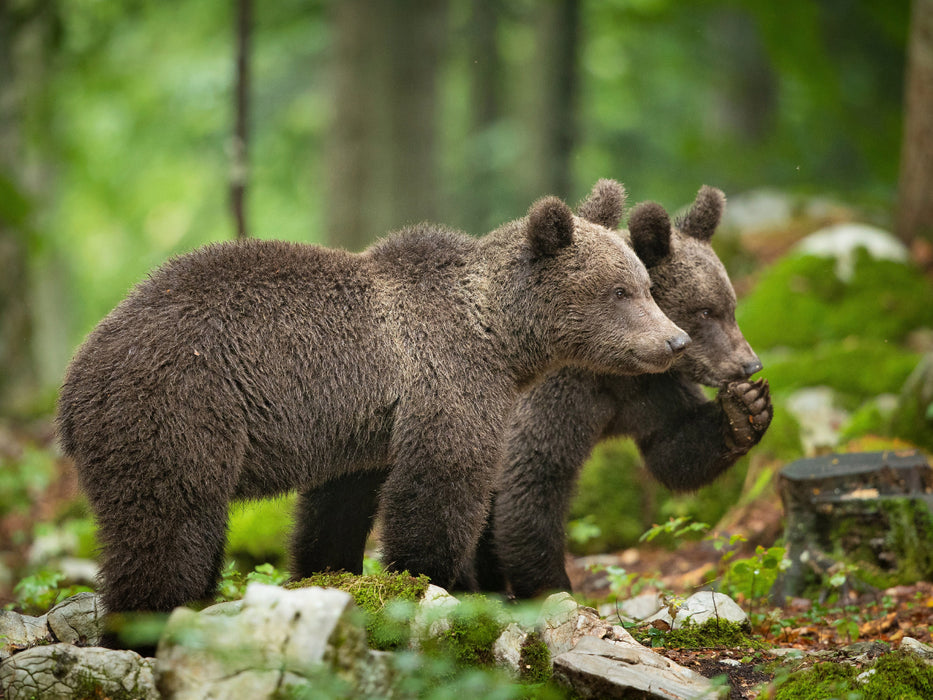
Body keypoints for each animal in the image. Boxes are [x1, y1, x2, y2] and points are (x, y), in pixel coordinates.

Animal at [56, 193, 684, 616]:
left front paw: (330, 573)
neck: (499, 335)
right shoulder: (445, 382)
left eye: (646, 285)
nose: (675, 341)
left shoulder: (361, 425)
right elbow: (440, 487)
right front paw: (438, 580)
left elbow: (338, 506)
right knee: (167, 524)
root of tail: (74, 382)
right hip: (178, 409)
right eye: (619, 291)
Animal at [476, 182, 776, 596]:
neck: (612, 367)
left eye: (730, 307)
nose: (750, 364)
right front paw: (552, 586)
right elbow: (533, 477)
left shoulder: (651, 389)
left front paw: (745, 409)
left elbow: (672, 448)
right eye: (704, 311)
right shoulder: (556, 397)